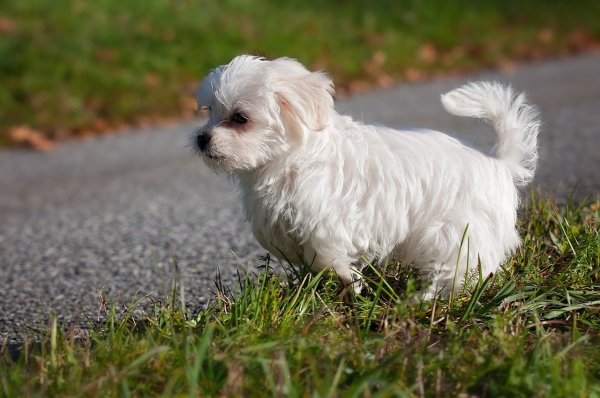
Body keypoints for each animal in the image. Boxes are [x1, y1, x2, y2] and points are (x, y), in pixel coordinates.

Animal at [192, 56, 540, 298]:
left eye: (240, 118)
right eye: (209, 112)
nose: (201, 138)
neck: (290, 158)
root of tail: (497, 163)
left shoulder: (325, 224)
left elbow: (329, 259)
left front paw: (352, 285)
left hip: (456, 232)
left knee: (460, 269)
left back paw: (426, 299)